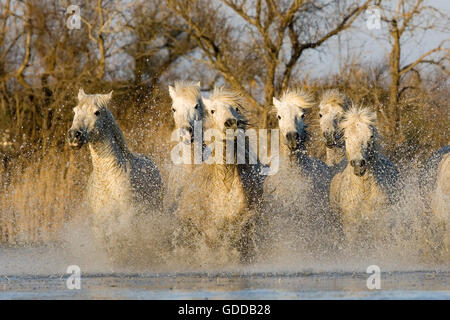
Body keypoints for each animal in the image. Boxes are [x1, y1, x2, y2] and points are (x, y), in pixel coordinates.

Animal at [67, 89, 163, 254]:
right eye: (75, 110)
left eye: (97, 112)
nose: (74, 135)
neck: (107, 179)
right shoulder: (99, 225)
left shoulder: (127, 219)